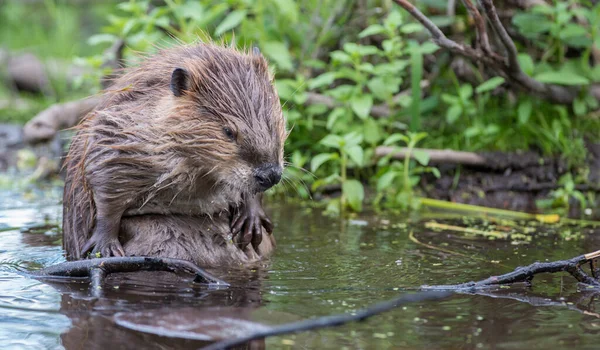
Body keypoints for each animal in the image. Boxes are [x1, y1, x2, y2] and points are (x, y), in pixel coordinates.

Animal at [62, 41, 288, 266]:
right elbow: (103, 174)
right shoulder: (120, 130)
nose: (270, 175)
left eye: (275, 122)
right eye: (228, 131)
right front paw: (105, 246)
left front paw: (252, 222)